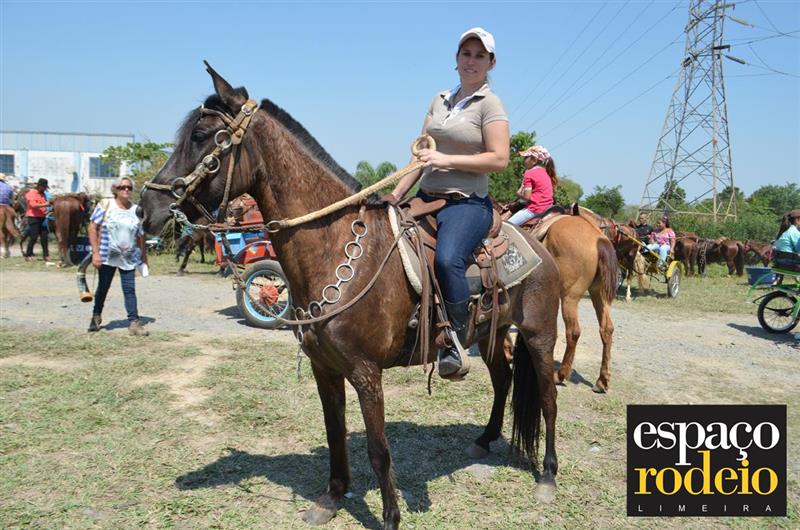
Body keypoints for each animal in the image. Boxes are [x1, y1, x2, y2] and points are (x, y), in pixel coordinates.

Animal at [138, 64, 562, 529]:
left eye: (200, 135)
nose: (146, 208)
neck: (334, 245)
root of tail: (540, 244)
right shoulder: (326, 369)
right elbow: (335, 432)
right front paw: (332, 497)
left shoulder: (366, 373)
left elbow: (379, 451)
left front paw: (391, 517)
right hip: (490, 333)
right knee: (503, 379)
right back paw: (484, 440)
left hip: (539, 335)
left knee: (548, 398)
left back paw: (548, 475)